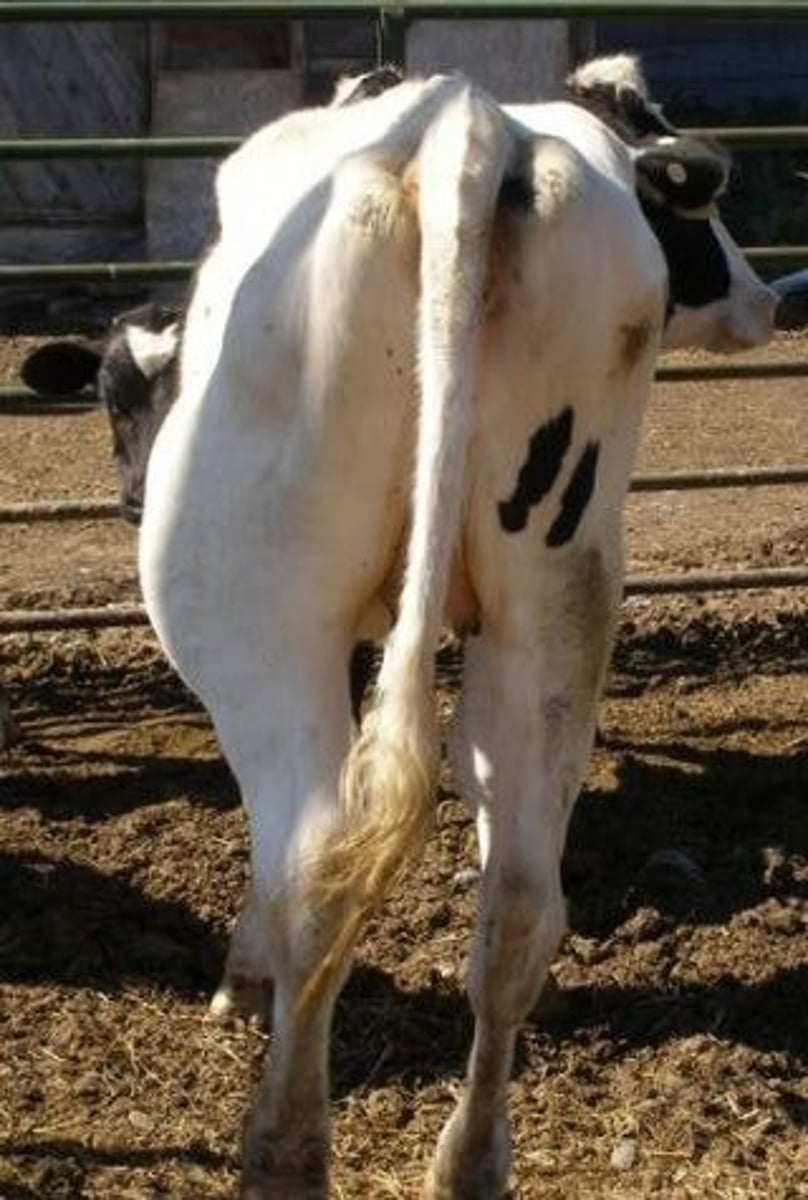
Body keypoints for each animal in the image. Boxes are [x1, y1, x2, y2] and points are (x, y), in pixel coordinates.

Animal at [136, 57, 774, 1198]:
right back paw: (470, 1159)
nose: (768, 299)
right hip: (559, 594)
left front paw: (239, 980)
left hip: (254, 619)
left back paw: (285, 1149)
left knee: (314, 869)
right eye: (691, 208)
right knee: (517, 898)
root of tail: (465, 127)